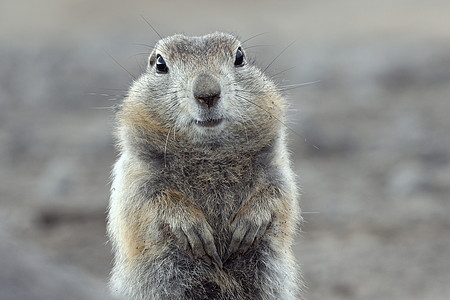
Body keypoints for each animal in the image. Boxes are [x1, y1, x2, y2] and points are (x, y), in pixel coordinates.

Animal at [107, 31, 300, 298]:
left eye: (240, 57)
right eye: (160, 64)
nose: (207, 93)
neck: (210, 155)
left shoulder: (276, 166)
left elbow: (279, 192)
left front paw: (249, 224)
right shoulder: (136, 173)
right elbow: (146, 199)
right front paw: (192, 227)